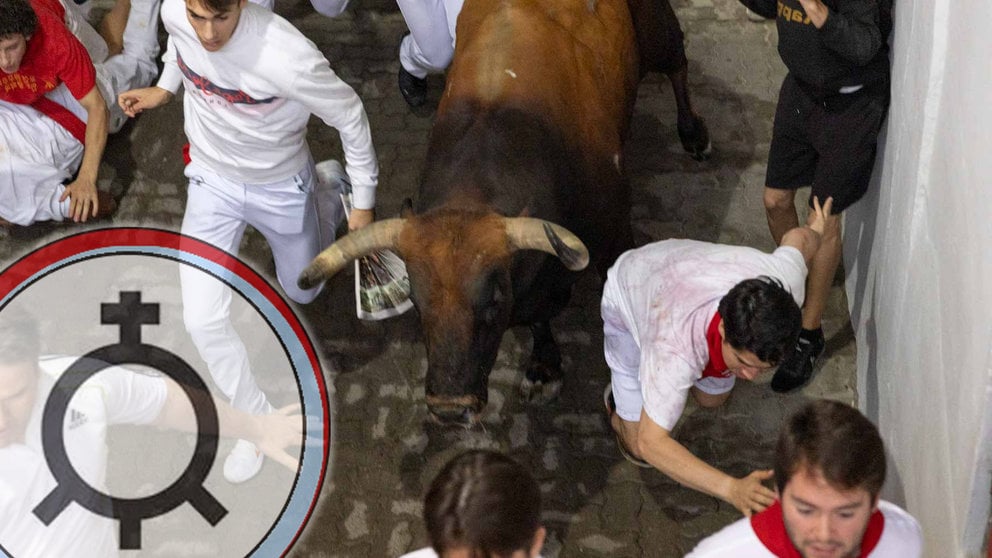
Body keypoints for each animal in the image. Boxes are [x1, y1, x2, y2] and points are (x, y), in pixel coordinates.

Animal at [302, 0, 704, 424]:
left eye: (492, 300)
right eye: (416, 299)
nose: (450, 407)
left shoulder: (614, 238)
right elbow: (539, 318)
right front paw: (544, 367)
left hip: (655, 31)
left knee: (677, 60)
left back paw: (694, 133)